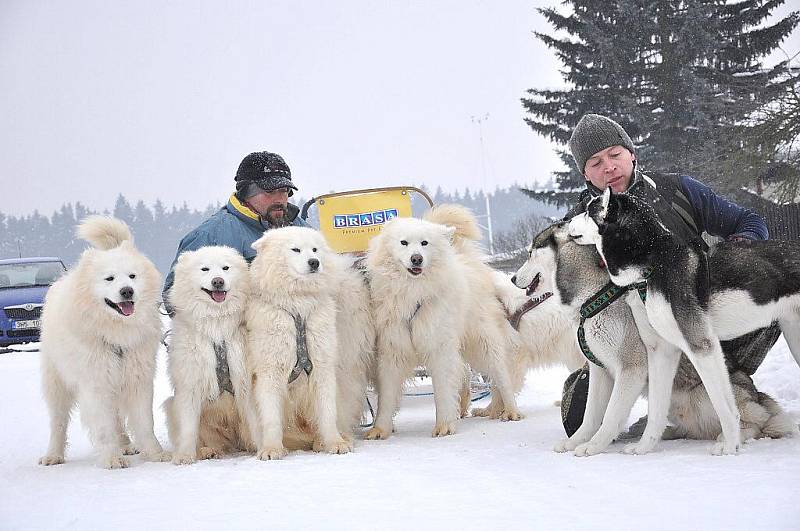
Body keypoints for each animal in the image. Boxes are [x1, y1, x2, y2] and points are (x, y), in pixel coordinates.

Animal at [39, 216, 169, 470]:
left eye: (132, 276)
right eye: (109, 278)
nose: (127, 291)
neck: (116, 334)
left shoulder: (138, 378)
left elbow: (144, 422)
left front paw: (155, 454)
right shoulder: (96, 382)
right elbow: (103, 427)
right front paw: (112, 458)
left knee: (117, 417)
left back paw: (126, 444)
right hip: (57, 382)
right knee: (58, 421)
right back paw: (53, 455)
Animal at [164, 246, 258, 466]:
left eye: (225, 268)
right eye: (204, 269)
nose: (218, 281)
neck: (216, 324)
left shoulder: (244, 377)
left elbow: (256, 420)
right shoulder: (190, 381)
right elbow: (188, 427)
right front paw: (184, 457)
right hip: (172, 406)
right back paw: (208, 451)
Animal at [247, 227, 372, 460]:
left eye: (315, 249)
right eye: (295, 249)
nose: (314, 262)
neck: (298, 307)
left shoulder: (322, 362)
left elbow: (327, 411)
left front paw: (335, 444)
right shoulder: (270, 367)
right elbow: (271, 415)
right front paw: (271, 450)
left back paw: (329, 440)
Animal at [364, 205, 524, 440]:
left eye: (424, 243)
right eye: (403, 243)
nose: (416, 259)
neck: (413, 294)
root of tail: (465, 258)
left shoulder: (439, 348)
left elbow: (442, 390)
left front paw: (444, 426)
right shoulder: (392, 350)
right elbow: (386, 397)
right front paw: (380, 429)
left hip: (483, 343)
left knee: (501, 378)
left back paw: (511, 411)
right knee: (465, 373)